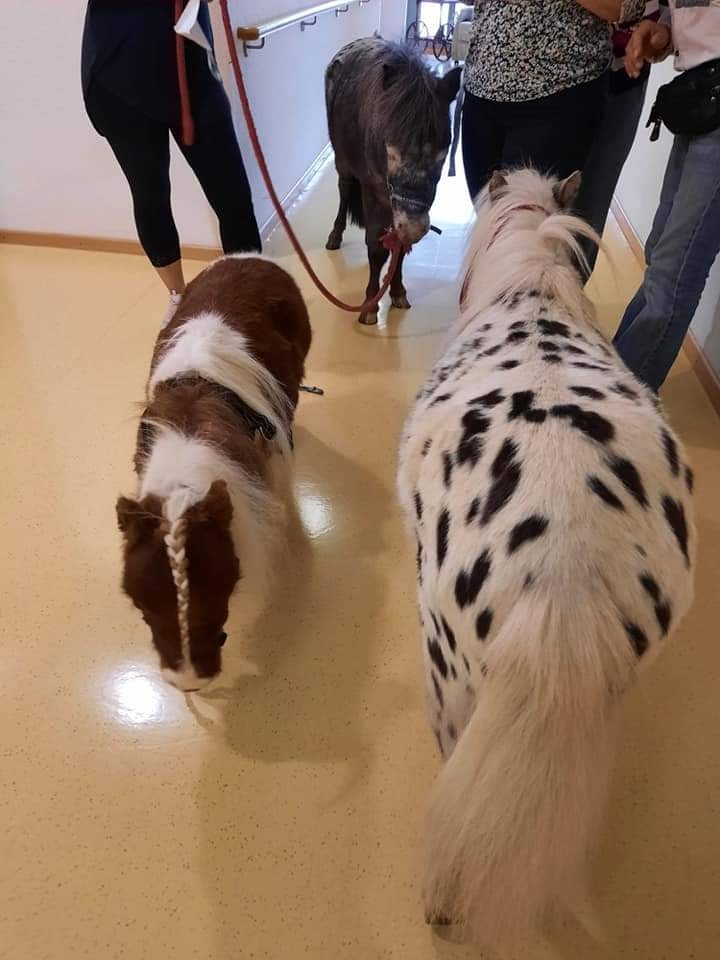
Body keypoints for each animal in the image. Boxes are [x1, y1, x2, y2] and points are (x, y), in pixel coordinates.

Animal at [326, 38, 462, 322]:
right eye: (391, 146)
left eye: (442, 153)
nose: (415, 226)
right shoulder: (373, 192)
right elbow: (376, 249)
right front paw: (369, 305)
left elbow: (399, 247)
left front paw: (397, 291)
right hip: (343, 162)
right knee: (344, 190)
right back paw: (335, 235)